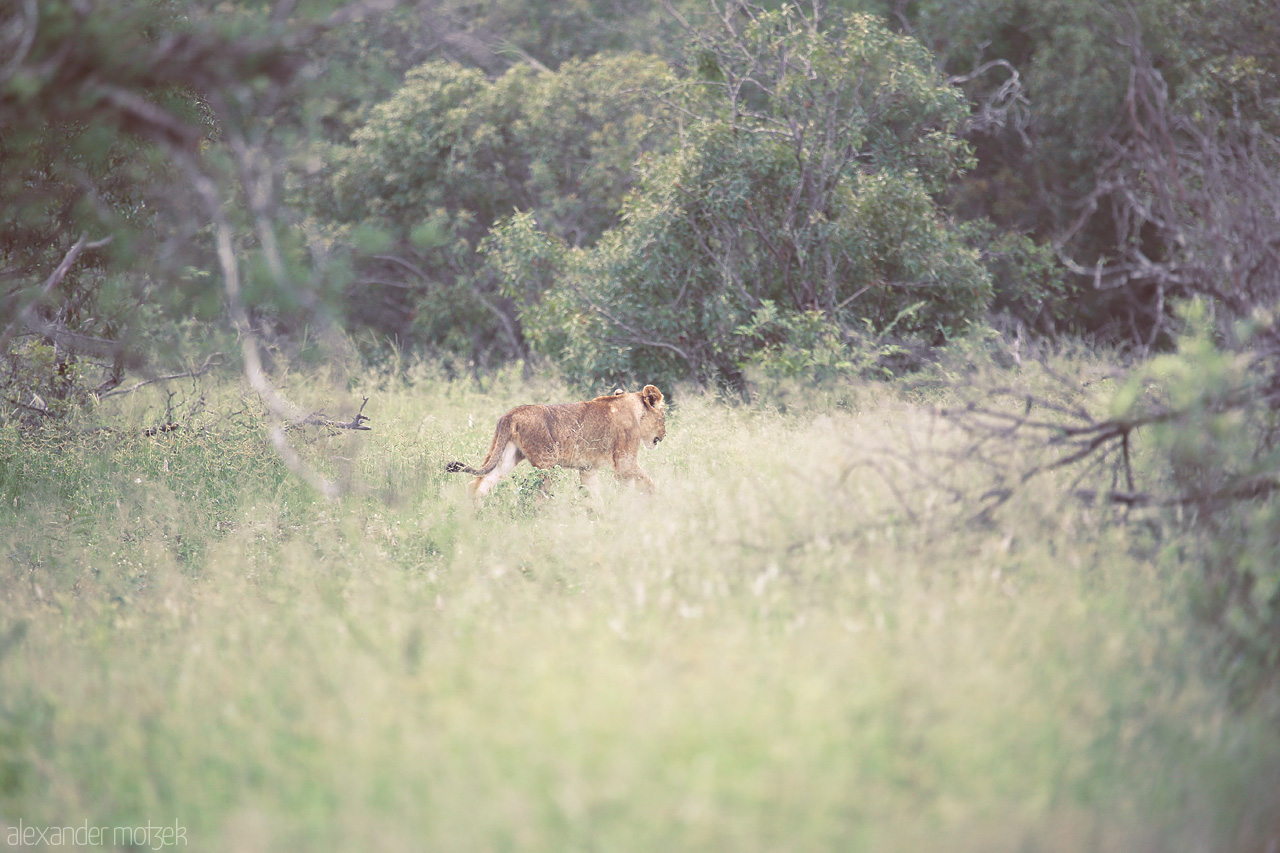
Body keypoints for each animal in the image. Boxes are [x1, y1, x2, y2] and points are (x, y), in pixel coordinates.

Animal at [448, 384, 670, 502]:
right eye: (663, 417)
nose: (664, 434)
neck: (632, 408)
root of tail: (512, 413)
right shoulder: (624, 463)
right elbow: (649, 483)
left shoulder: (588, 468)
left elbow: (594, 496)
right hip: (547, 464)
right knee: (537, 496)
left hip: (507, 457)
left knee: (477, 485)